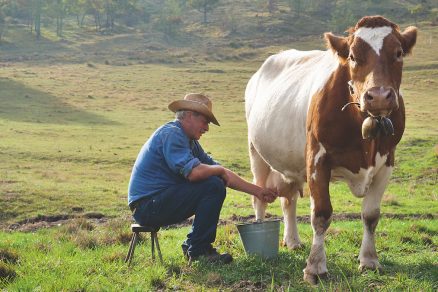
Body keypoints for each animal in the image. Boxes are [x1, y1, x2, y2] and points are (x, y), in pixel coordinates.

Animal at [245, 16, 416, 286]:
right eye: (353, 56)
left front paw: (369, 260)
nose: (378, 96)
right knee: (259, 197)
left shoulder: (387, 161)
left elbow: (371, 214)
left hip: (289, 163)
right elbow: (321, 214)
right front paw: (315, 267)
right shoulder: (317, 159)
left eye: (398, 53)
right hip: (257, 154)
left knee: (288, 200)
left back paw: (293, 240)